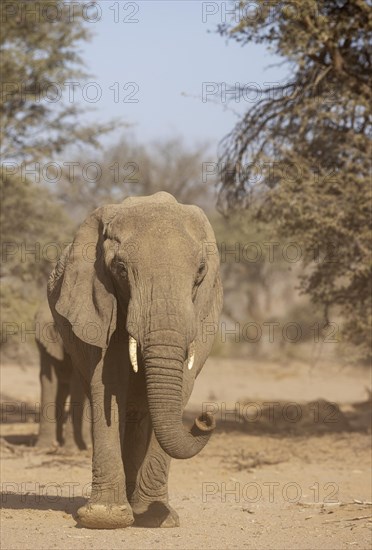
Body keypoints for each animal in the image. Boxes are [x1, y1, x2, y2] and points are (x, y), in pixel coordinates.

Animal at [34, 302, 91, 452]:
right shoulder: (44, 342)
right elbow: (48, 380)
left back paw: (86, 445)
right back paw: (59, 442)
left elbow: (76, 383)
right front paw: (43, 447)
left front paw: (71, 450)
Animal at [47, 193, 222, 532]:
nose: (205, 418)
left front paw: (157, 518)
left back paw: (140, 508)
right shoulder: (98, 300)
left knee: (141, 410)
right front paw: (105, 519)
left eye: (200, 271)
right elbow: (108, 381)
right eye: (120, 269)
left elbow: (182, 384)